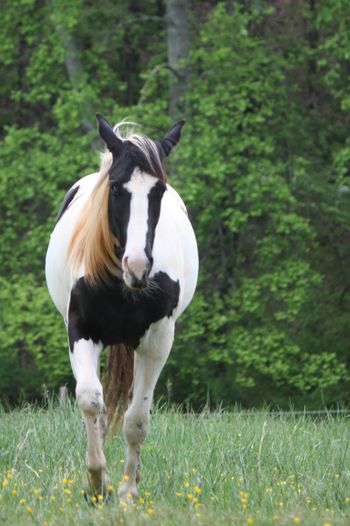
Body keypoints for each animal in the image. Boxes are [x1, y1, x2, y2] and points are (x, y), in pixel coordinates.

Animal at [45, 115, 198, 504]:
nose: (138, 265)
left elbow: (137, 419)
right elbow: (90, 401)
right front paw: (97, 483)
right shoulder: (81, 331)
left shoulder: (157, 342)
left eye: (159, 191)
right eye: (115, 188)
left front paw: (128, 490)